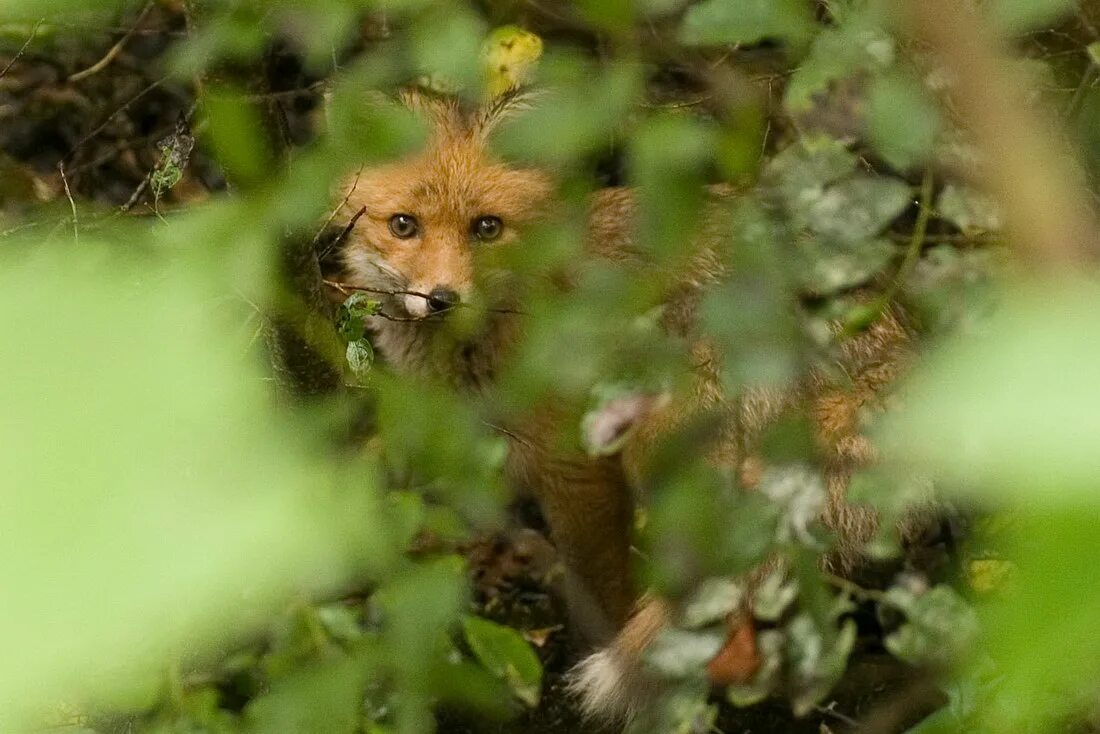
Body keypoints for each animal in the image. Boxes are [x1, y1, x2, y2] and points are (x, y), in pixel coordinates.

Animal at [327, 87, 919, 721]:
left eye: (486, 228)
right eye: (404, 225)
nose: (441, 300)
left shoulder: (575, 464)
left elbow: (603, 587)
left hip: (667, 450)